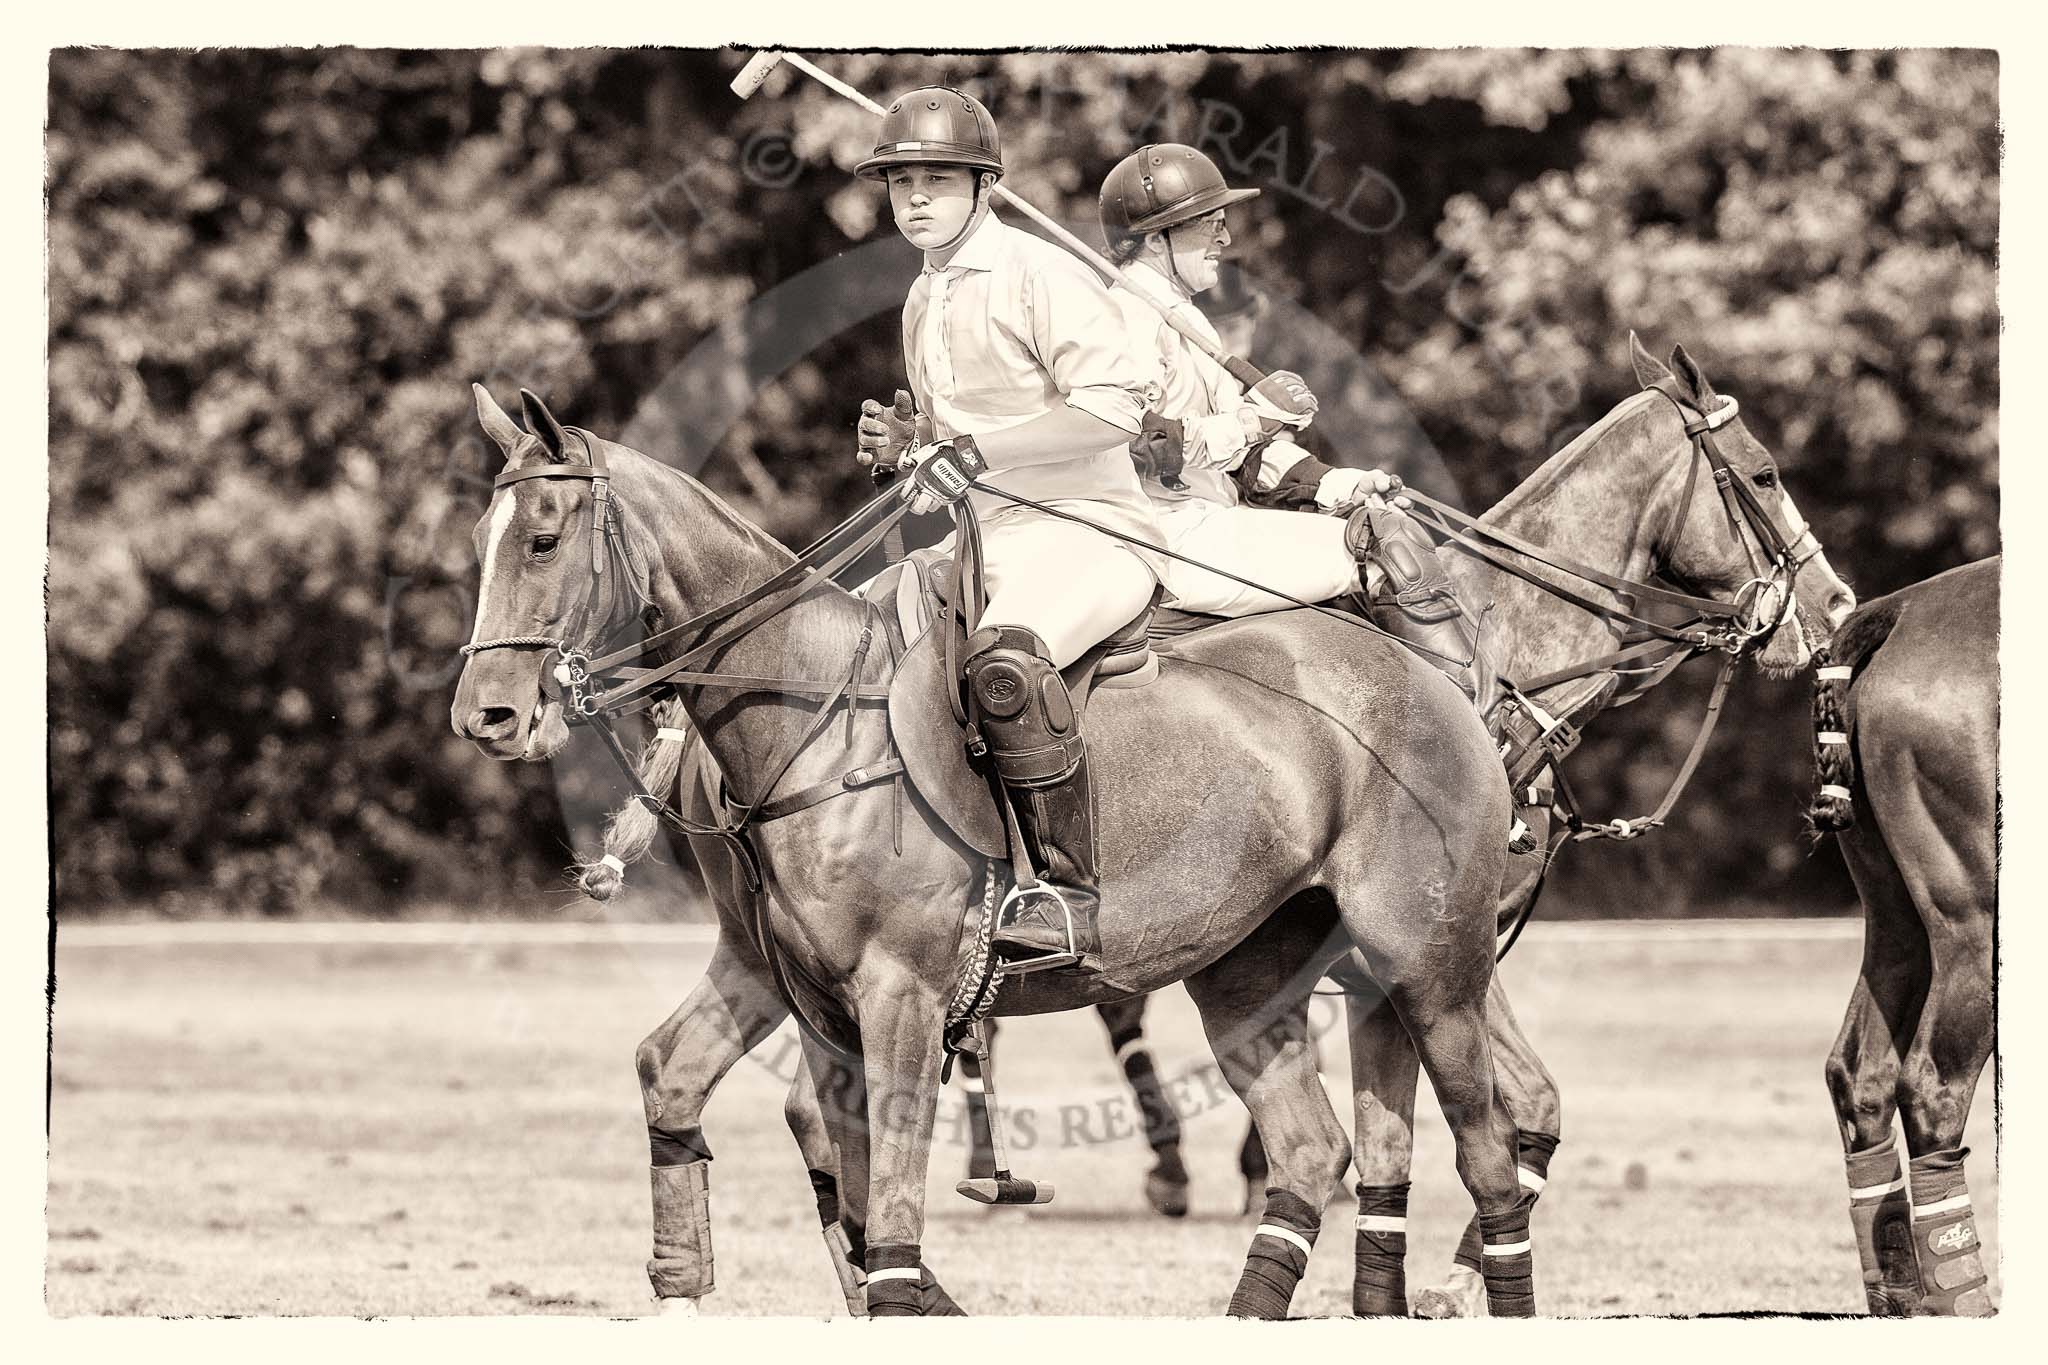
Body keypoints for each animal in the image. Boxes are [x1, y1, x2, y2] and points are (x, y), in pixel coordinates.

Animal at [456, 378, 1531, 1317]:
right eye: (484, 543)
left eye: (544, 539)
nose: (488, 716)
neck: (812, 715)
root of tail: (1428, 681)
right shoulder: (811, 1000)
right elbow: (839, 1180)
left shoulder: (900, 994)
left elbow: (889, 1213)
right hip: (1255, 967)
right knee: (1317, 1147)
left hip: (1430, 968)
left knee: (1491, 1155)